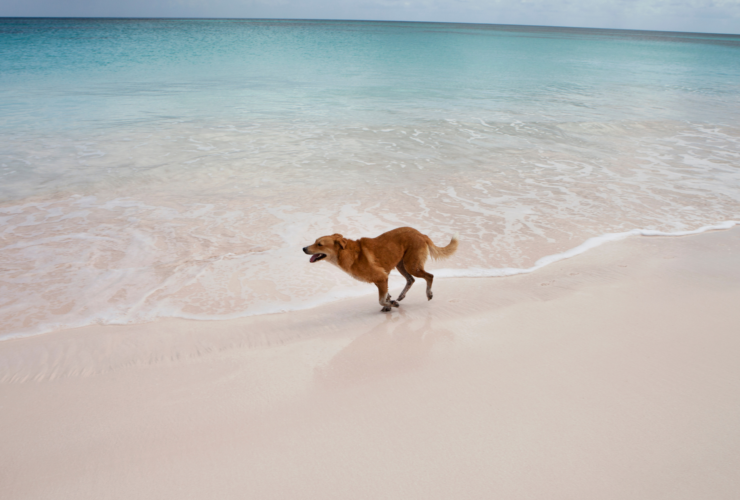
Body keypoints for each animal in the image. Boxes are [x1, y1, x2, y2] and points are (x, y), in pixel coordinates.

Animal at [302, 228, 456, 312]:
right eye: (315, 242)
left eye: (319, 244)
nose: (303, 248)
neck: (347, 253)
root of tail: (421, 234)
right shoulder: (381, 279)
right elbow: (385, 296)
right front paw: (390, 304)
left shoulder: (381, 278)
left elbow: (381, 300)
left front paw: (391, 304)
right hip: (401, 264)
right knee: (410, 280)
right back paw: (401, 296)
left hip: (411, 265)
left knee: (429, 276)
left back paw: (428, 293)